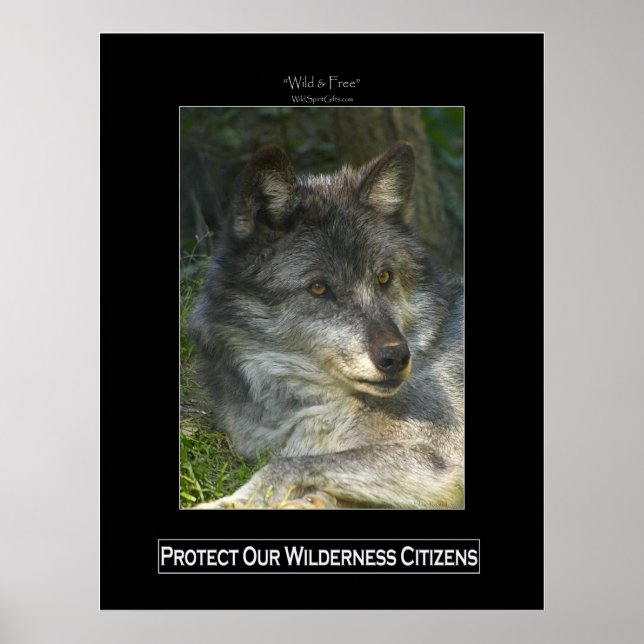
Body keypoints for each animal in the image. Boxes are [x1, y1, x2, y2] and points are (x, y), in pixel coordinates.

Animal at [187, 141, 464, 509]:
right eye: (319, 288)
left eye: (384, 277)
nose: (396, 357)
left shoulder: (440, 457)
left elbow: (283, 466)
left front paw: (232, 502)